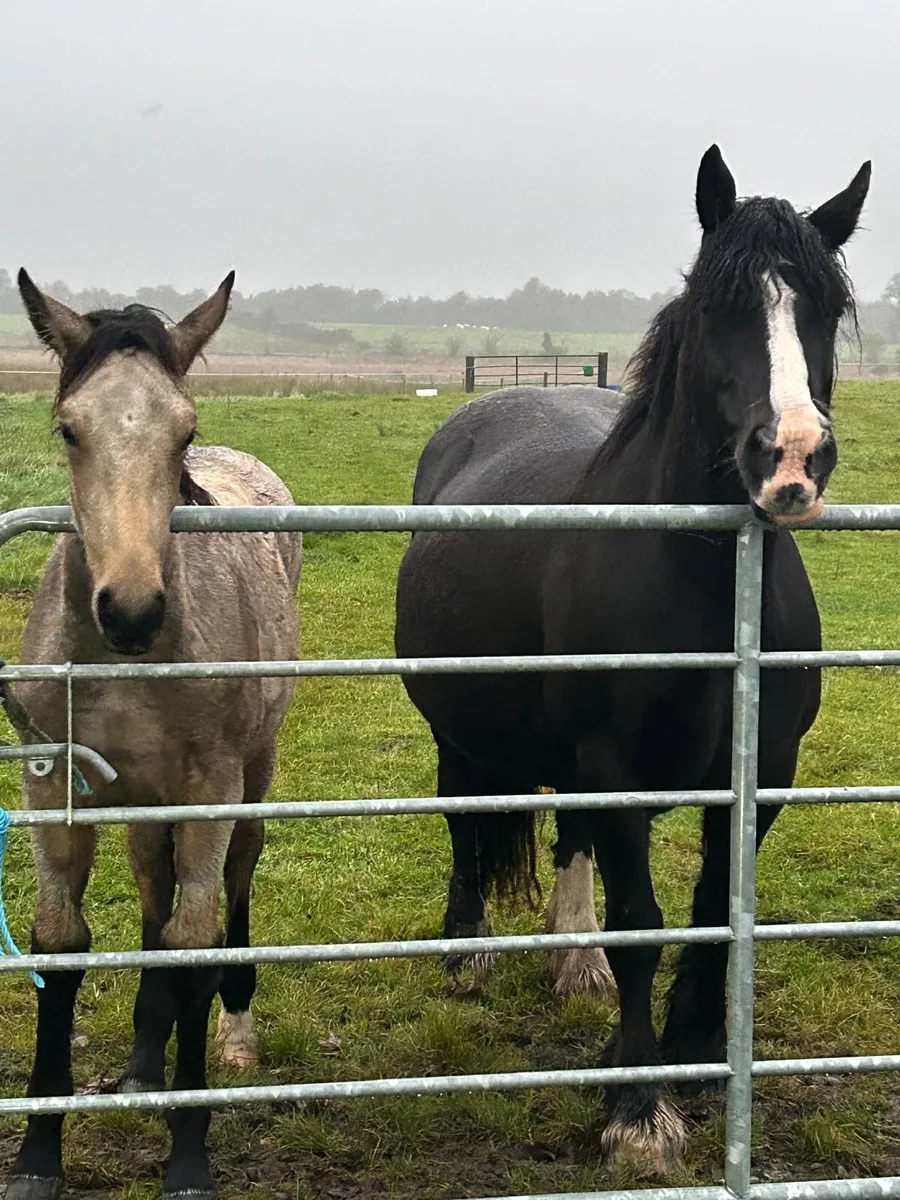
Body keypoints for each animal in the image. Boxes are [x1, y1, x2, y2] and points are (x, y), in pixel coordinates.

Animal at [6, 272, 301, 1200]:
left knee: (231, 885)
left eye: (185, 431)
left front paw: (190, 1154)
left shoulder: (209, 790)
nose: (131, 610)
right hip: (138, 800)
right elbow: (61, 944)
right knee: (151, 891)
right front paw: (37, 1154)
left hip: (250, 777)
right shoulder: (53, 785)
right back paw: (143, 1059)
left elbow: (193, 943)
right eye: (69, 428)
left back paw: (234, 1032)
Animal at [394, 145, 870, 1170]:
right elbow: (644, 925)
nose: (791, 460)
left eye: (825, 305)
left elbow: (715, 910)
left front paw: (695, 1052)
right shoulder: (619, 768)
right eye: (714, 307)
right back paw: (466, 950)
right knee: (464, 818)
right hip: (460, 728)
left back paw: (575, 963)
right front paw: (637, 1107)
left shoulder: (763, 771)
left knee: (570, 839)